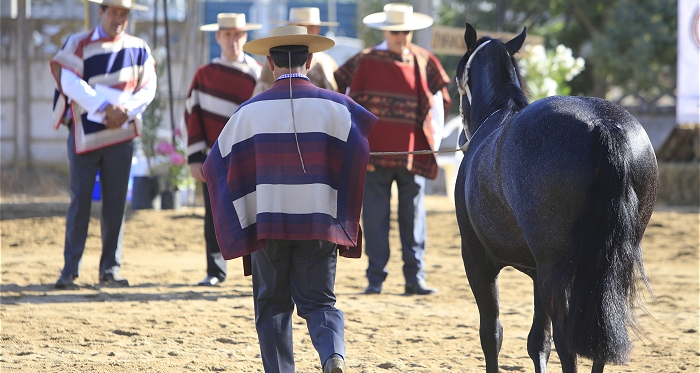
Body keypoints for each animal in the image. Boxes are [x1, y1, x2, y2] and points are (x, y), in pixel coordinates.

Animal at [452, 24, 660, 372]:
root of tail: (602, 124)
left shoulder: (477, 260)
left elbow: (492, 333)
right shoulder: (537, 272)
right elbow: (538, 340)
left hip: (556, 270)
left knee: (567, 341)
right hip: (605, 267)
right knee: (595, 340)